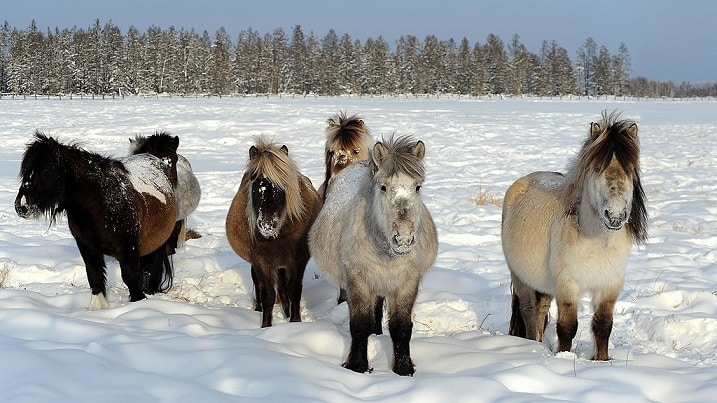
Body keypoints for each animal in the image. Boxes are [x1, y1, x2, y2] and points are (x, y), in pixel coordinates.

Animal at [15, 132, 179, 310]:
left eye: (45, 170)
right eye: (25, 170)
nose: (20, 206)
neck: (102, 203)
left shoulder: (129, 249)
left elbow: (131, 278)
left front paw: (138, 304)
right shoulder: (87, 247)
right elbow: (94, 275)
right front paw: (99, 308)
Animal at [227, 136, 322, 328]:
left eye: (283, 183)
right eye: (254, 179)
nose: (267, 224)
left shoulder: (297, 260)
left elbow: (293, 291)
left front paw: (295, 321)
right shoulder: (261, 261)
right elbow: (268, 295)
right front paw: (266, 327)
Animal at [308, 135, 436, 376]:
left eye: (417, 187)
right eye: (383, 187)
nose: (403, 240)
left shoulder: (407, 283)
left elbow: (401, 327)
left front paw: (404, 368)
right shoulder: (358, 280)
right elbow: (360, 325)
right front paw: (357, 366)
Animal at [498, 110, 648, 360]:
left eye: (629, 170)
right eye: (596, 168)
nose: (615, 215)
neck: (597, 242)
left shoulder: (610, 285)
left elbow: (603, 325)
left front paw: (601, 360)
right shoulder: (568, 284)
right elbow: (567, 327)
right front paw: (564, 358)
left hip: (544, 284)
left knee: (541, 310)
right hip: (521, 277)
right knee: (528, 310)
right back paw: (532, 345)